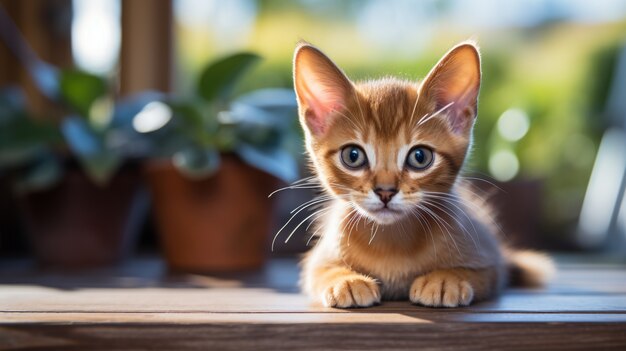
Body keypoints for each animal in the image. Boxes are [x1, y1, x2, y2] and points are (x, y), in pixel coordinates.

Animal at [290, 41, 552, 308]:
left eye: (419, 157)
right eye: (353, 156)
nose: (385, 191)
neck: (392, 242)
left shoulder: (488, 261)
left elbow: (479, 272)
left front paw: (445, 279)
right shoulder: (317, 260)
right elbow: (320, 270)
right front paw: (346, 279)